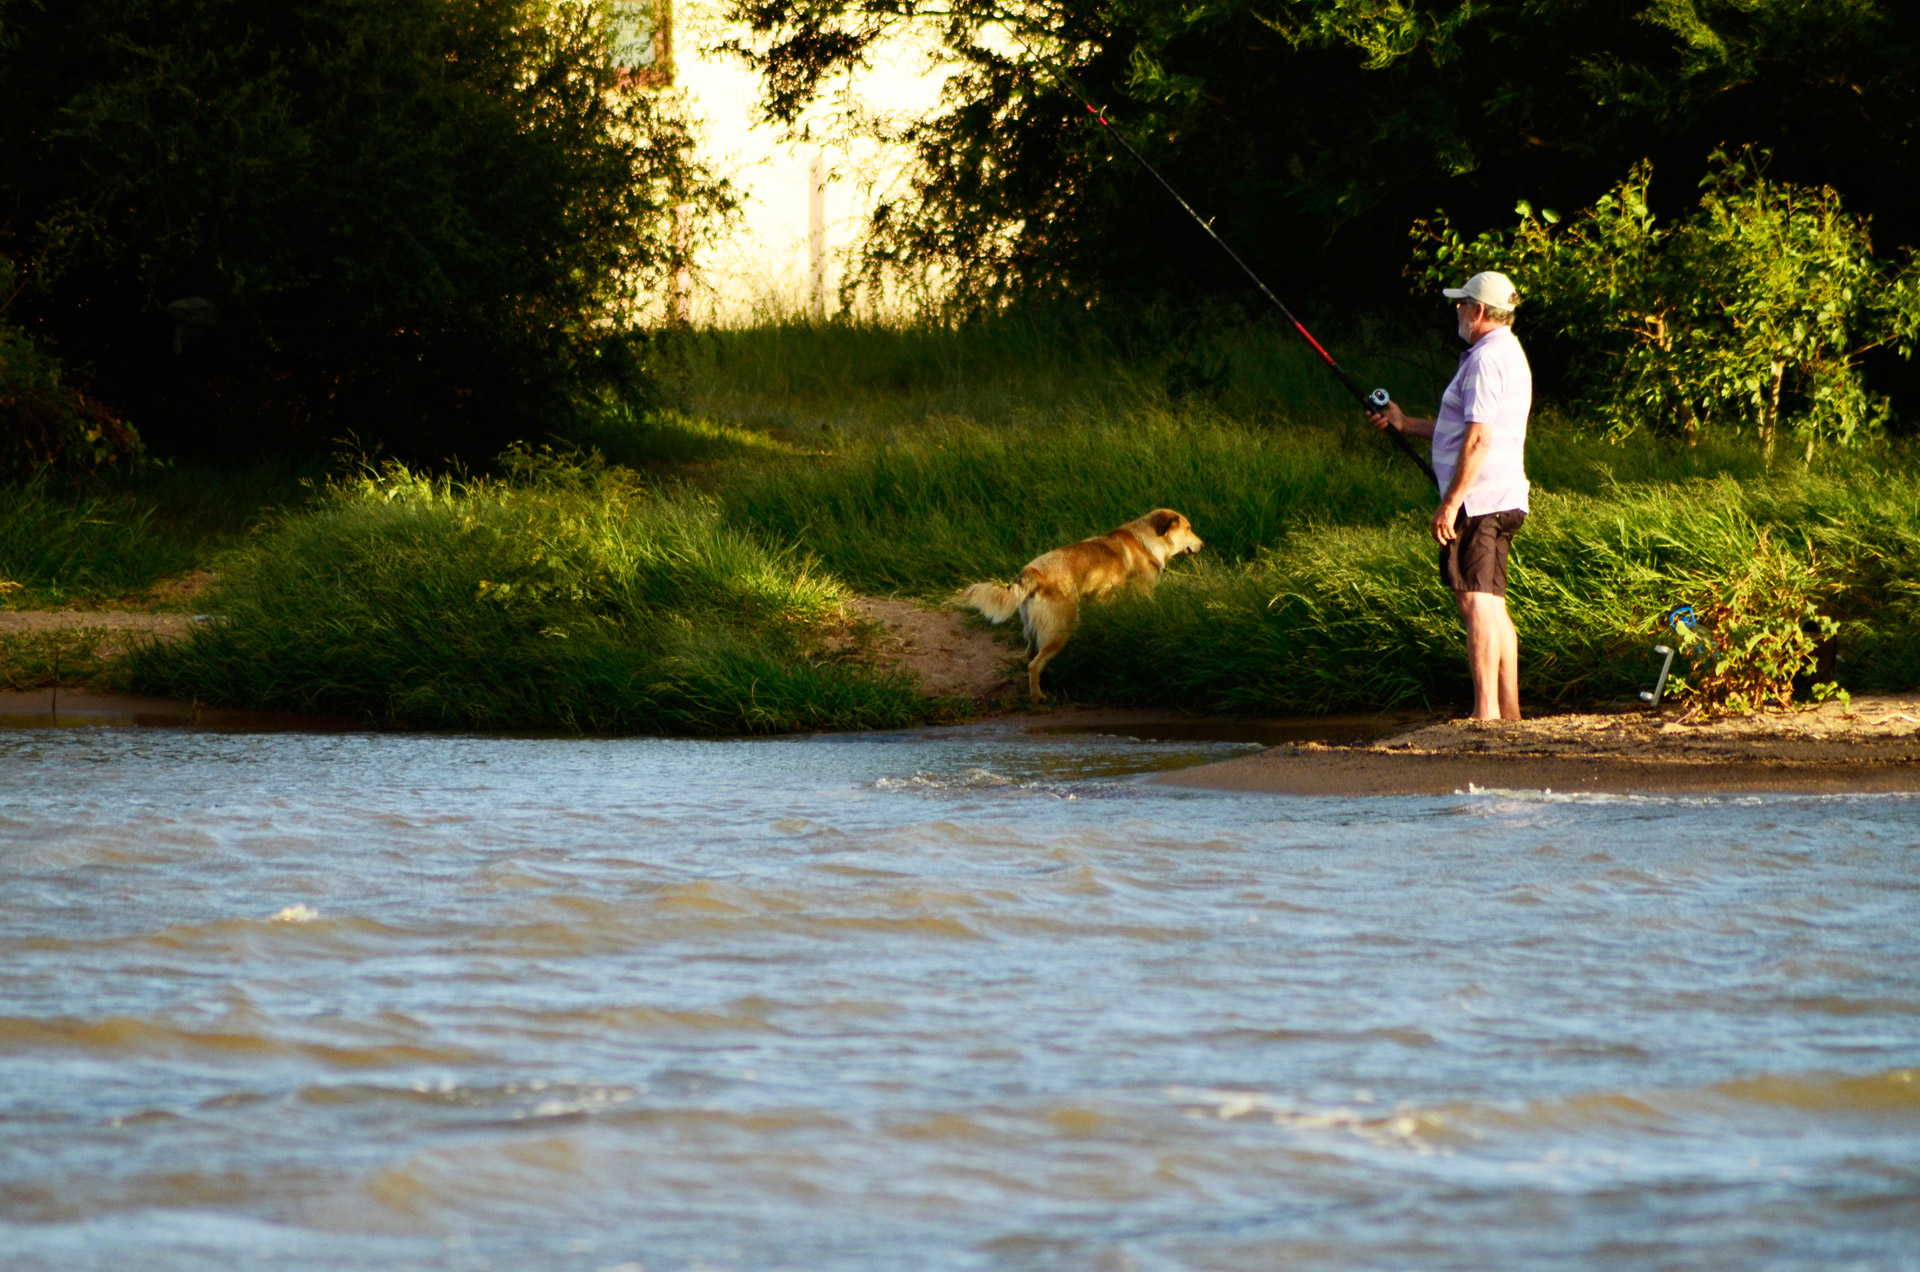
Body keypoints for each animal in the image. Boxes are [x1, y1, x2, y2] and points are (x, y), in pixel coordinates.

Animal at [960, 507, 1198, 703]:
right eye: (1188, 529)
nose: (1202, 543)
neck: (1148, 540)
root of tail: (1033, 571)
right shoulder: (1143, 593)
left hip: (1036, 631)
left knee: (1030, 657)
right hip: (1060, 631)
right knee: (1034, 664)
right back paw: (1038, 698)